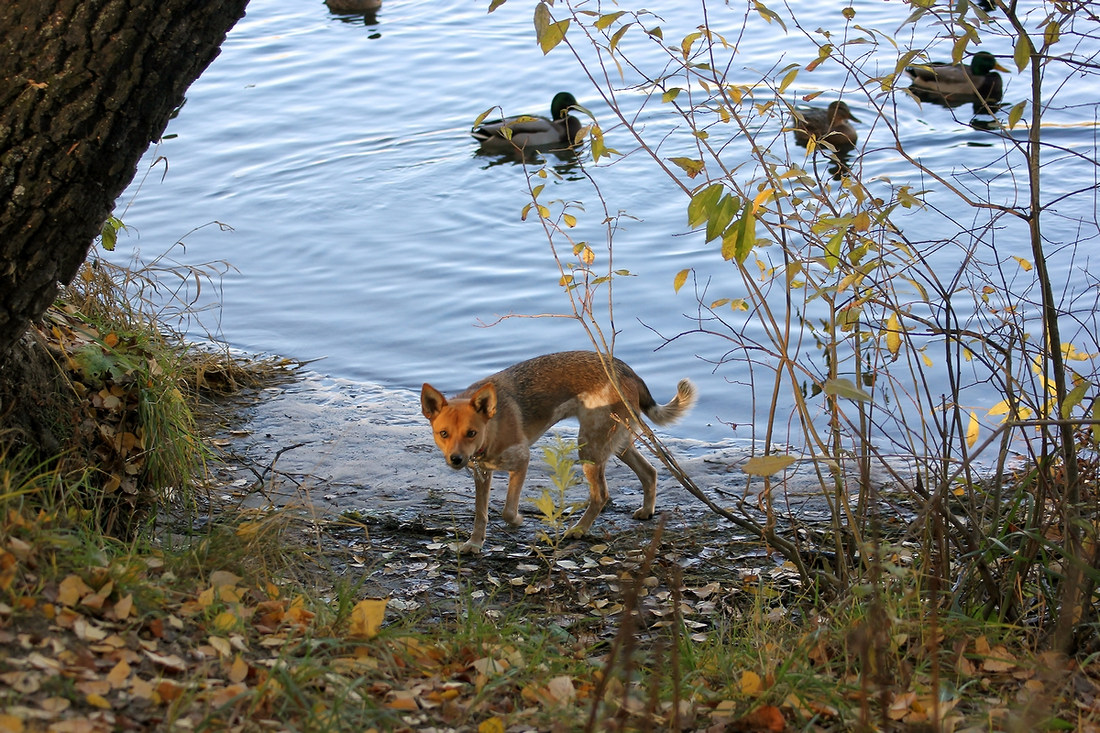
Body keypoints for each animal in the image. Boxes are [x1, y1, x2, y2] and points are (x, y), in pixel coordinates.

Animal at [415, 347, 690, 548]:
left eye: (471, 433)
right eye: (443, 434)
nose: (456, 459)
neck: (492, 427)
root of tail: (628, 371)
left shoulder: (521, 462)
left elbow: (507, 511)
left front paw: (517, 520)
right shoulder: (482, 473)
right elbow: (480, 513)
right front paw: (474, 544)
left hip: (590, 447)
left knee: (601, 495)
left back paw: (579, 529)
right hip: (616, 443)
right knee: (649, 472)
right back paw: (646, 510)